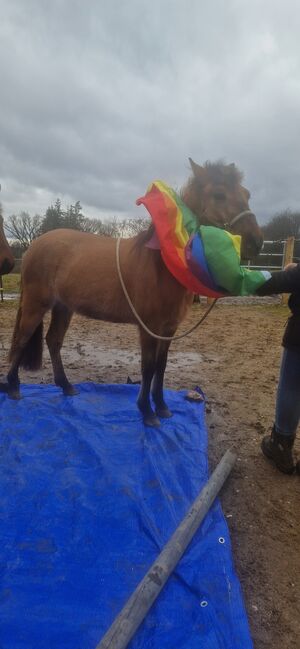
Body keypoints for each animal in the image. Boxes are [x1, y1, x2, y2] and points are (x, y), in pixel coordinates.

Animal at [2, 160, 264, 426]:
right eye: (219, 195)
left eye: (247, 194)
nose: (256, 242)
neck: (161, 264)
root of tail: (34, 245)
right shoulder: (148, 327)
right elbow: (148, 367)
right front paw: (147, 411)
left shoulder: (169, 329)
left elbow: (161, 365)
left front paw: (162, 407)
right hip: (36, 304)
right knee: (22, 338)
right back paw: (13, 387)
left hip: (63, 307)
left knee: (53, 341)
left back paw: (66, 386)